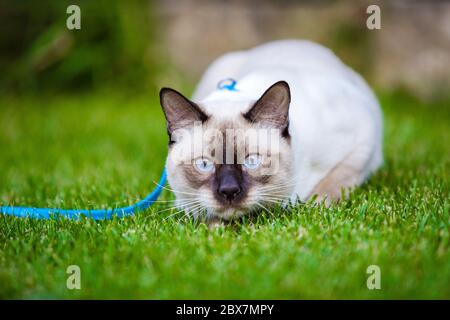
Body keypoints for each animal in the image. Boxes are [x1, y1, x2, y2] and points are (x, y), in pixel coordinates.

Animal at [160, 39, 382, 222]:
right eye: (204, 164)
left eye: (252, 161)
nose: (229, 191)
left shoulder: (364, 134)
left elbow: (335, 182)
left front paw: (317, 205)